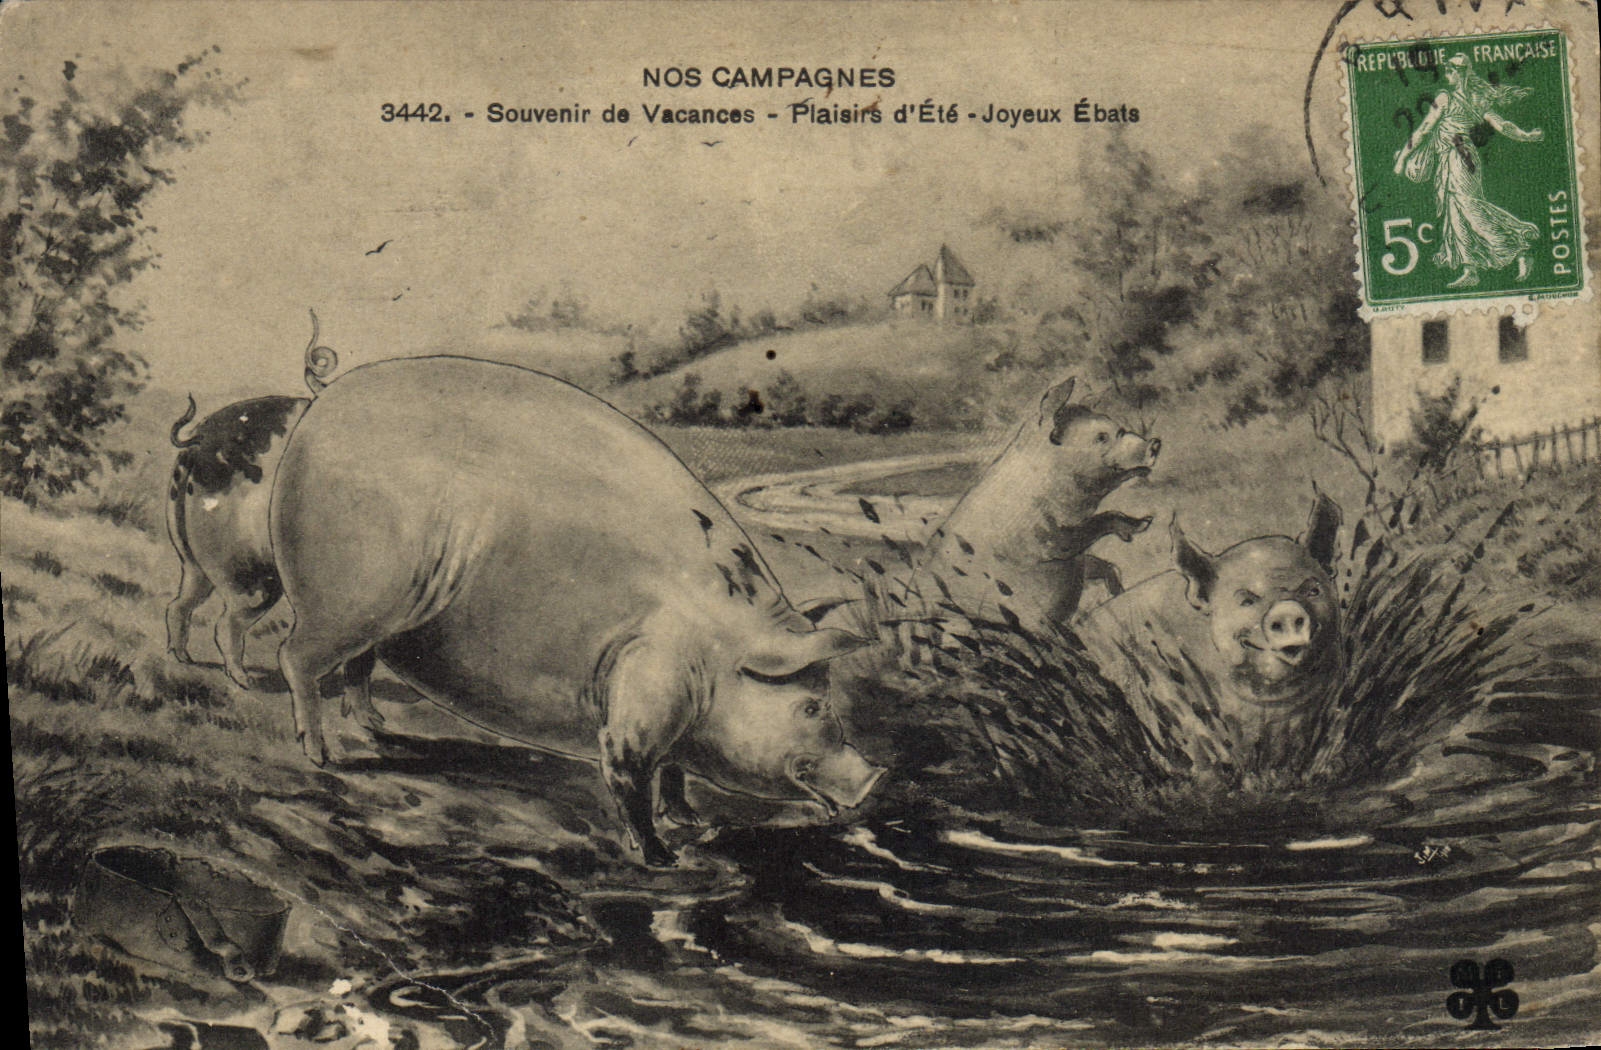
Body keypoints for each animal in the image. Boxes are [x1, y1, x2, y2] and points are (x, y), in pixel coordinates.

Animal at [269, 355, 886, 866]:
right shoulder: (640, 697)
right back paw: (322, 756)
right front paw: (663, 858)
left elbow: (674, 773)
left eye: (827, 696)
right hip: (350, 594)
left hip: (374, 615)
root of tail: (325, 396)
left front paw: (691, 821)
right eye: (811, 706)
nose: (875, 777)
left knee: (358, 665)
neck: (716, 654)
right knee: (295, 656)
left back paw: (375, 726)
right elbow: (629, 775)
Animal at [909, 377, 1160, 633]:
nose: (1155, 443)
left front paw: (1119, 590)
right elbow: (1092, 526)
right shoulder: (1047, 539)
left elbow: (1104, 564)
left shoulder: (1075, 562)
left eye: (1119, 429)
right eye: (1101, 437)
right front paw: (1144, 524)